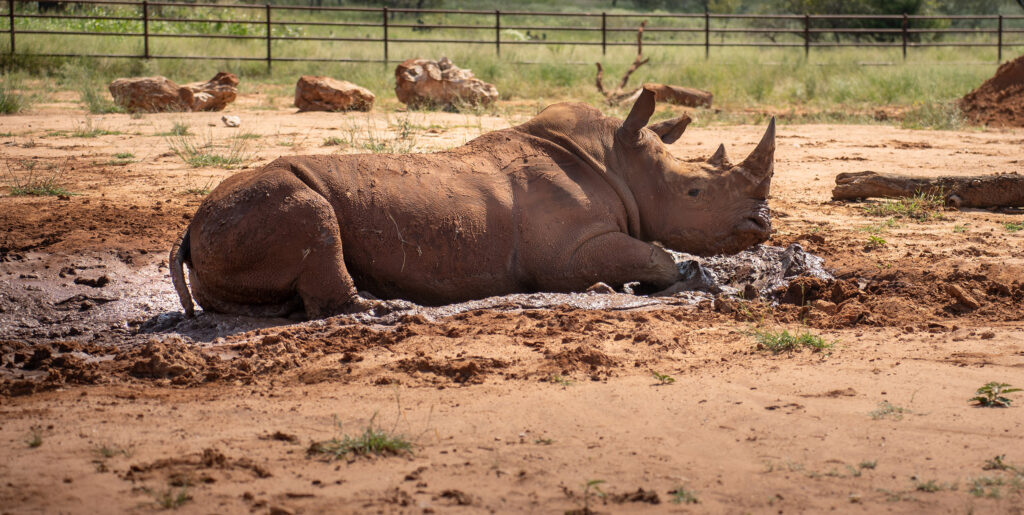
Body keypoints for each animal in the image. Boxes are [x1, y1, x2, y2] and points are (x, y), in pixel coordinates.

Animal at [170, 87, 775, 318]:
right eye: (695, 193)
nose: (762, 223)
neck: (620, 162)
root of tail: (188, 228)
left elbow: (647, 252)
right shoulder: (568, 252)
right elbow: (651, 253)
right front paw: (683, 280)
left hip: (227, 220)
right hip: (264, 203)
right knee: (310, 215)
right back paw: (383, 308)